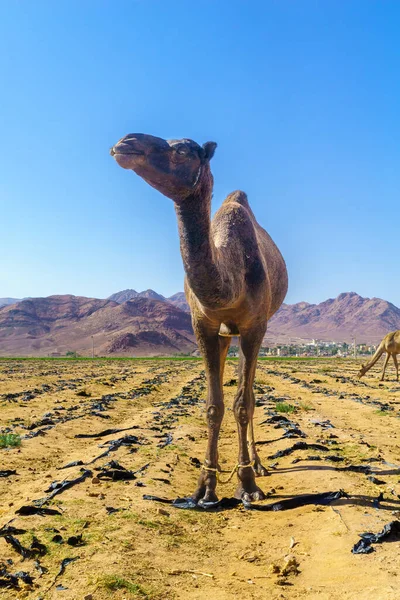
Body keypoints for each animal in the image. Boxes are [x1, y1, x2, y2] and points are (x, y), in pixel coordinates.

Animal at [111, 132, 290, 502]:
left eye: (182, 151)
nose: (126, 142)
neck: (232, 277)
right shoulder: (203, 324)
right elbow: (212, 406)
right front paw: (205, 487)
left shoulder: (255, 326)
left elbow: (242, 404)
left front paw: (247, 484)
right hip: (223, 335)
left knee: (251, 395)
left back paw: (258, 465)